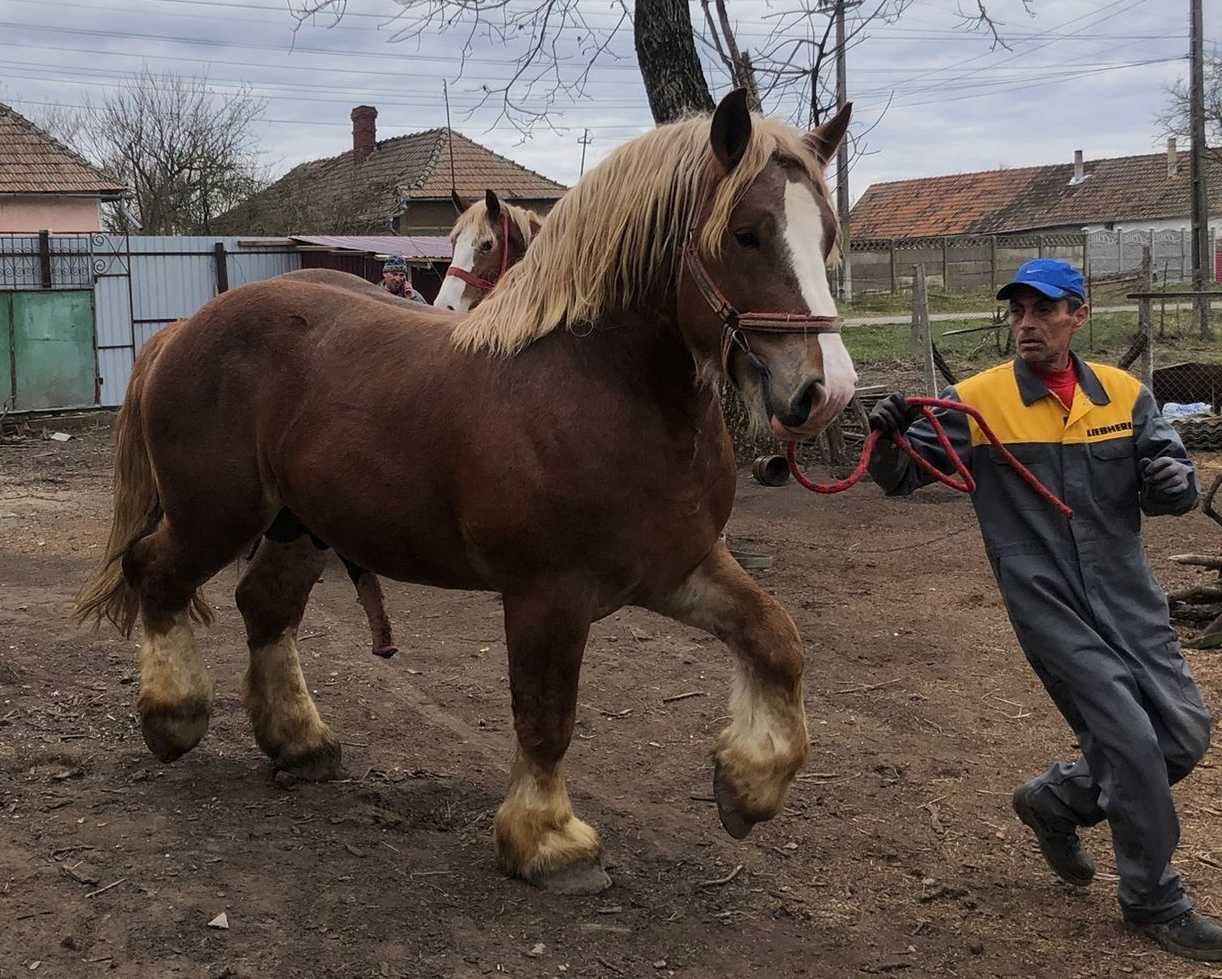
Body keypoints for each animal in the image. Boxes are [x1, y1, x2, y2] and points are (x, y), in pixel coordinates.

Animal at [76, 93, 855, 894]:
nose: (825, 392)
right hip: (216, 516)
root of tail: (177, 332)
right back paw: (173, 716)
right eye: (746, 233)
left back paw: (300, 742)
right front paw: (548, 840)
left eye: (827, 233)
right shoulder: (548, 593)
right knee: (154, 573)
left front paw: (749, 782)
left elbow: (776, 639)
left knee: (265, 606)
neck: (603, 387)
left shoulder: (678, 565)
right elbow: (545, 714)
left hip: (300, 524)